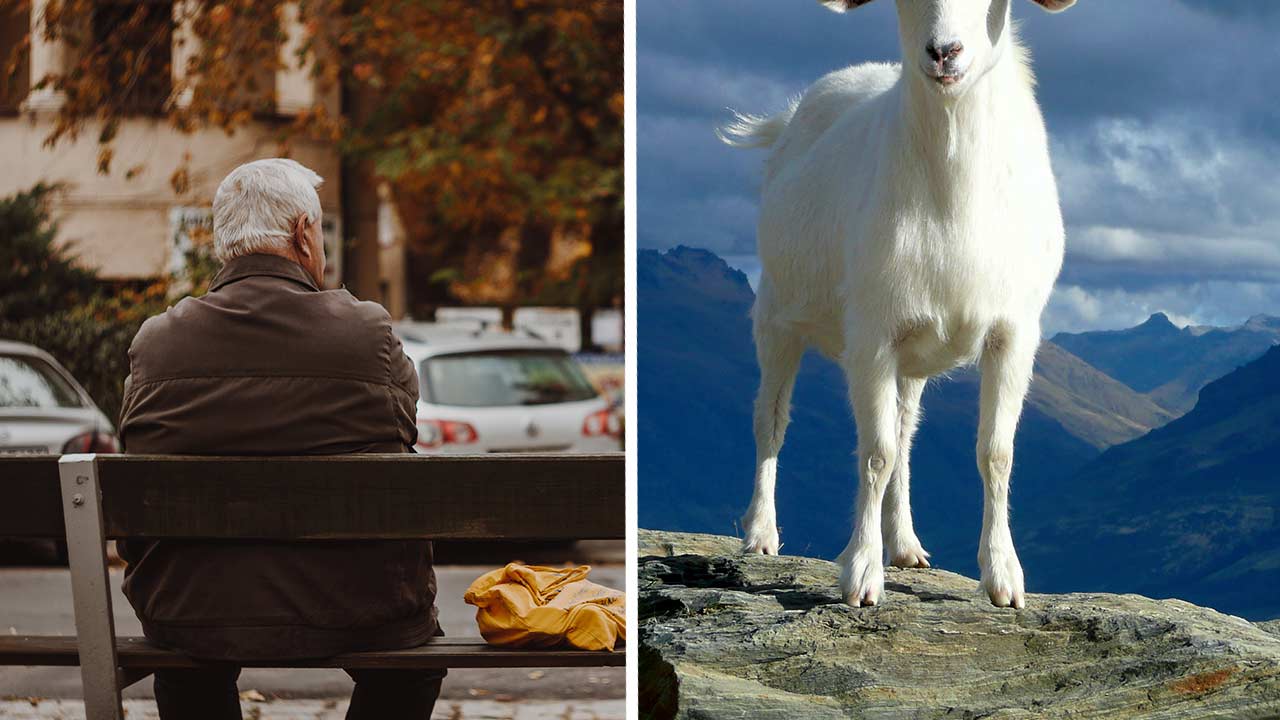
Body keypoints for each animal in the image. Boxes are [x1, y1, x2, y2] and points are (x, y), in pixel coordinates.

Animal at [727, 0, 1075, 604]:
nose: (944, 52)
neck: (956, 202)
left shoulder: (1013, 335)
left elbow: (995, 452)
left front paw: (1004, 578)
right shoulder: (872, 335)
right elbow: (876, 453)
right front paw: (862, 576)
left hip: (912, 356)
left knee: (907, 432)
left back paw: (907, 545)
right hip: (776, 315)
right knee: (770, 420)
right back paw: (762, 534)